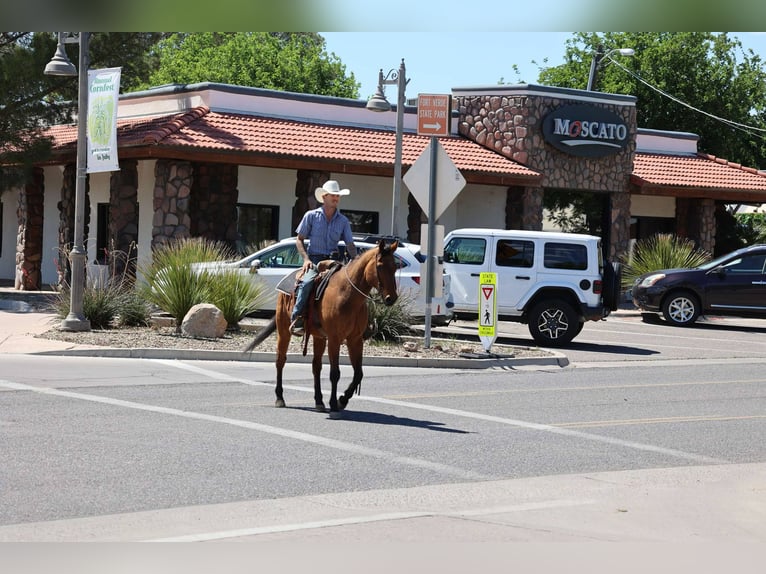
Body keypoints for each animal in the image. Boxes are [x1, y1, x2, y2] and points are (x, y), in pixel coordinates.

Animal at [244, 239, 399, 414]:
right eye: (380, 265)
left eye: (395, 267)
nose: (391, 298)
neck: (348, 295)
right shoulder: (334, 339)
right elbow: (335, 373)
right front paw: (334, 403)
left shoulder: (355, 340)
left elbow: (358, 373)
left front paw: (342, 400)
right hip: (284, 330)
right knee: (280, 361)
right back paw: (280, 398)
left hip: (319, 337)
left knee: (316, 366)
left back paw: (319, 401)